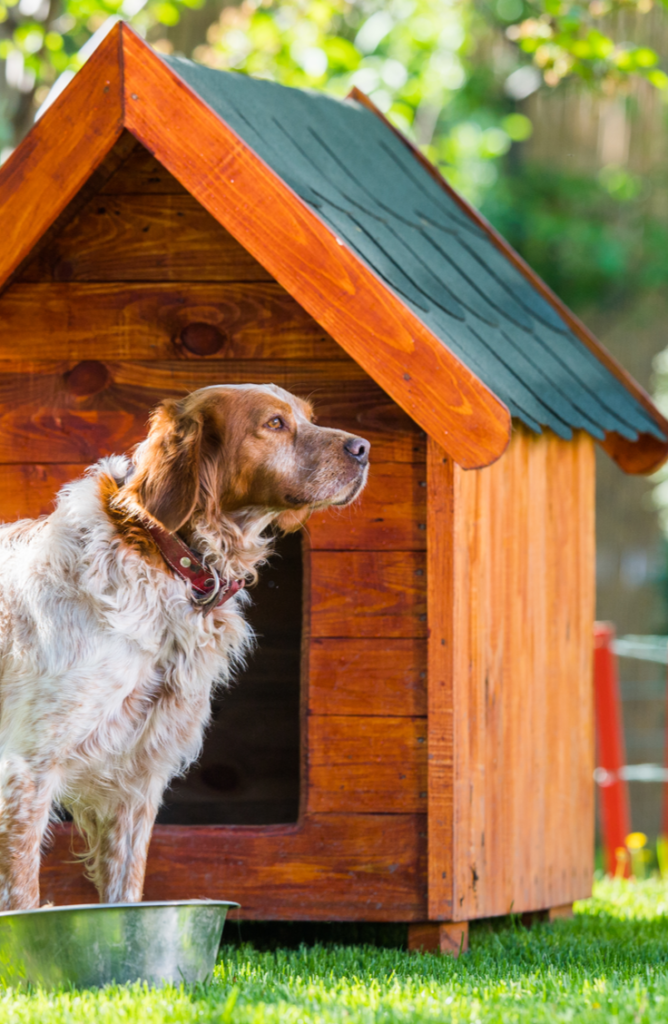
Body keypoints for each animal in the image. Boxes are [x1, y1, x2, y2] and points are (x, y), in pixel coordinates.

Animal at [0, 385, 370, 913]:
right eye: (275, 423)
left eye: (309, 416)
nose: (364, 448)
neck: (167, 559)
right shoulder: (26, 769)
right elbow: (21, 900)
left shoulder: (136, 781)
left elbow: (125, 897)